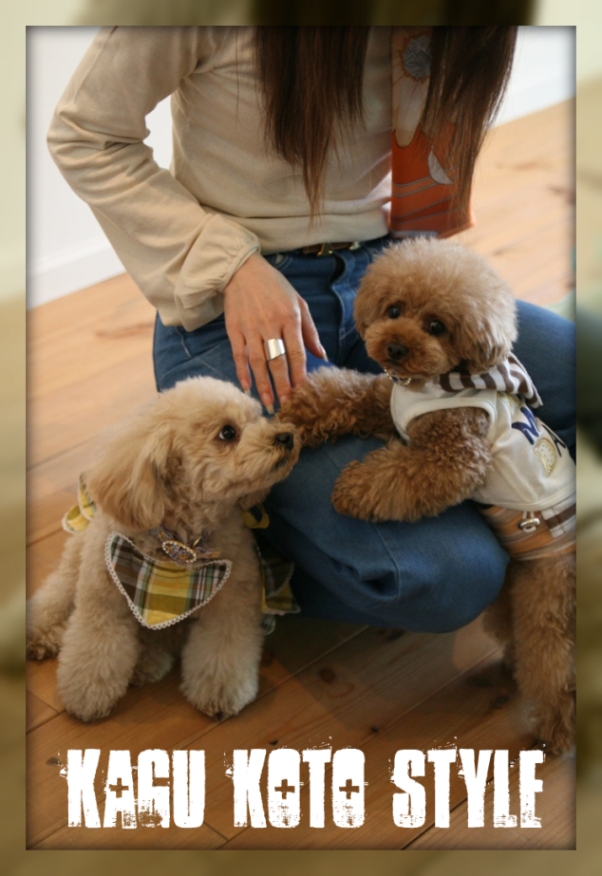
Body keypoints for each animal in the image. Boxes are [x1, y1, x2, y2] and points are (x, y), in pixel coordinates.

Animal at [27, 376, 299, 722]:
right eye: (227, 432)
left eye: (258, 417)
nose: (286, 436)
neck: (179, 544)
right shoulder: (103, 601)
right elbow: (95, 649)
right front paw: (87, 697)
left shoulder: (231, 605)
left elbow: (222, 652)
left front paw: (219, 695)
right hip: (77, 562)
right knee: (56, 594)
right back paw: (39, 633)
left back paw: (145, 661)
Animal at [280, 237, 575, 753]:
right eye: (393, 309)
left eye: (437, 326)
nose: (394, 347)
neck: (435, 384)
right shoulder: (389, 402)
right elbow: (348, 393)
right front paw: (300, 415)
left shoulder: (454, 457)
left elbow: (400, 475)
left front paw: (350, 490)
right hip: (518, 587)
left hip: (549, 591)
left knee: (554, 664)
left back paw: (555, 730)